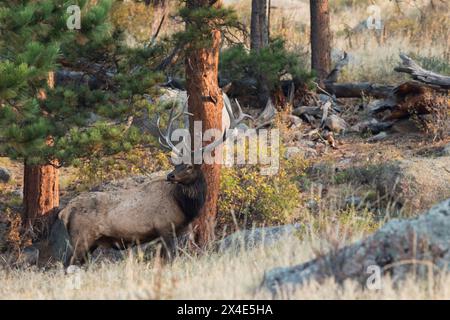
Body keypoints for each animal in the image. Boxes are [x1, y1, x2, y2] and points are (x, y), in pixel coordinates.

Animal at [53, 99, 250, 266]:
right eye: (175, 164)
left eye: (189, 166)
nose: (170, 176)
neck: (184, 206)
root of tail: (64, 211)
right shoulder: (165, 227)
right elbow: (171, 258)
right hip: (81, 238)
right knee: (66, 265)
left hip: (90, 243)